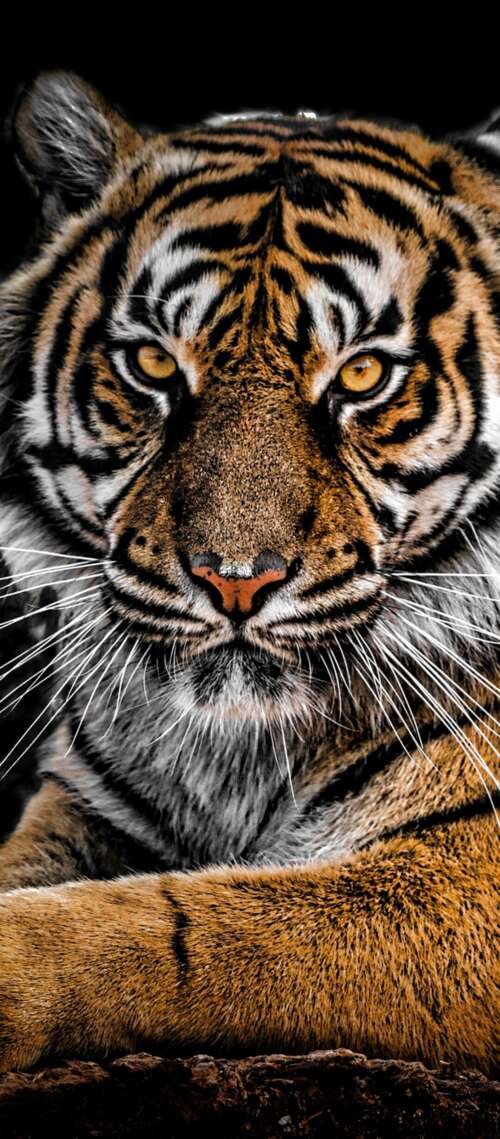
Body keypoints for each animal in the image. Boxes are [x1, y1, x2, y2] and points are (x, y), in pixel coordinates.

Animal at [0, 70, 498, 1076]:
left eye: (364, 376)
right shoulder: (85, 806)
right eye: (153, 362)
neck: (237, 753)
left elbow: (187, 927)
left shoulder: (464, 873)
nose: (235, 579)